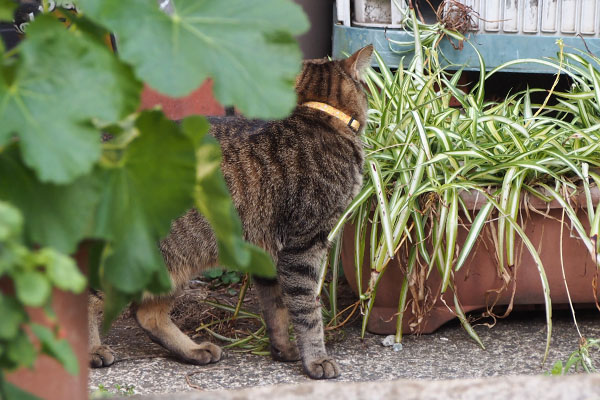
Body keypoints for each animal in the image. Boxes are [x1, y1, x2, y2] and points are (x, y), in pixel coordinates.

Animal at [89, 45, 372, 380]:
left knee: (147, 314)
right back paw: (93, 350)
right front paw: (316, 360)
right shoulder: (303, 246)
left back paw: (194, 350)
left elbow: (276, 308)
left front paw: (283, 350)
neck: (319, 115)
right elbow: (307, 311)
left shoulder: (266, 252)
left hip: (176, 260)